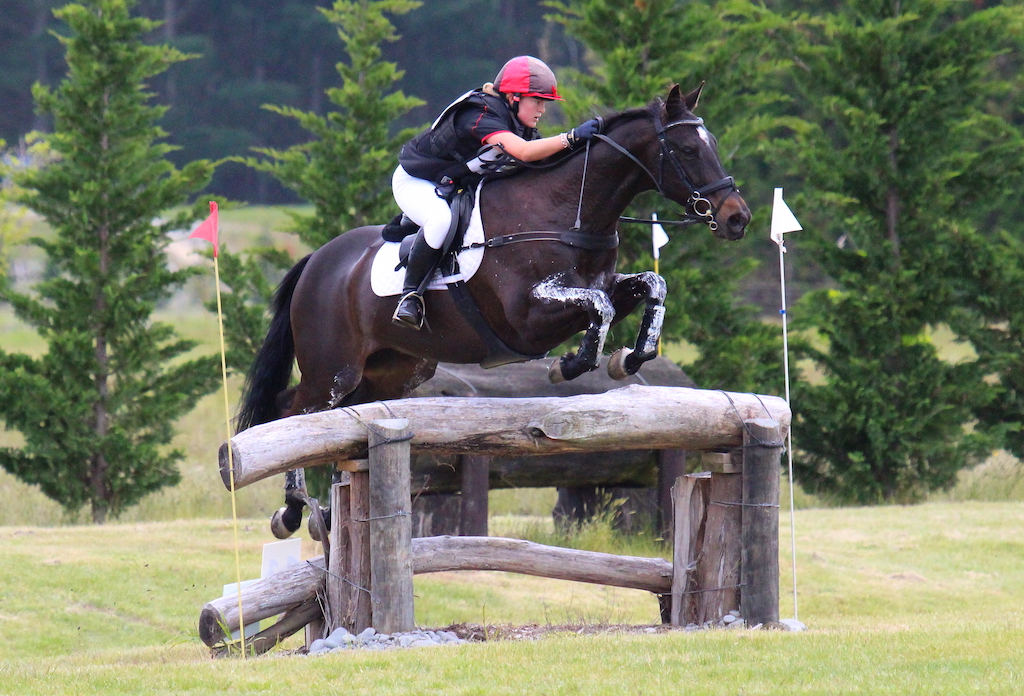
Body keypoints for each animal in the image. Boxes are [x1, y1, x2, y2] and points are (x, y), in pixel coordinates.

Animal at [237, 82, 753, 536]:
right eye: (686, 149)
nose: (738, 218)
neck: (567, 210)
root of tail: (317, 261)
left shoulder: (597, 286)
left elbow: (651, 286)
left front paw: (627, 359)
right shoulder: (527, 319)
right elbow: (601, 308)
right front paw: (570, 366)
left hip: (395, 372)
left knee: (343, 420)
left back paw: (329, 502)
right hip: (334, 367)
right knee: (294, 411)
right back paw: (293, 510)